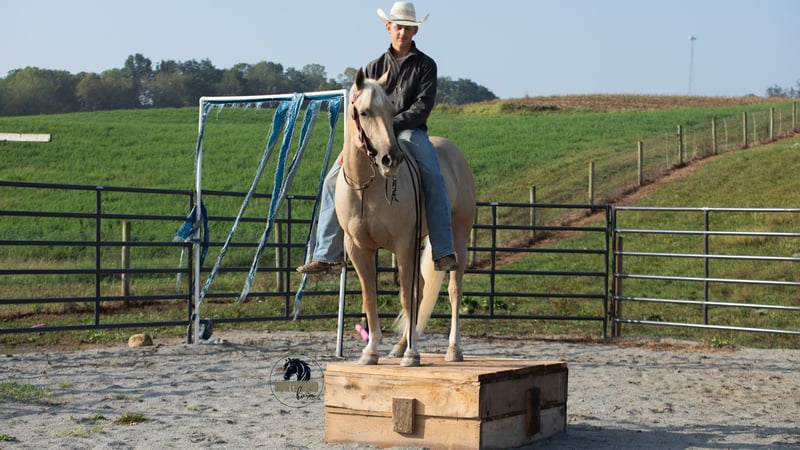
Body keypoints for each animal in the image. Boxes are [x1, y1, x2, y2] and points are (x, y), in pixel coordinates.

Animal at [335, 68, 475, 367]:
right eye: (363, 112)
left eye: (391, 110)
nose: (391, 159)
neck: (367, 188)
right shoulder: (358, 248)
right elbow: (370, 296)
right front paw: (371, 351)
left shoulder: (402, 244)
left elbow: (405, 296)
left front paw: (413, 353)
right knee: (421, 289)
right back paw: (400, 346)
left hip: (458, 236)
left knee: (453, 290)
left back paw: (453, 348)